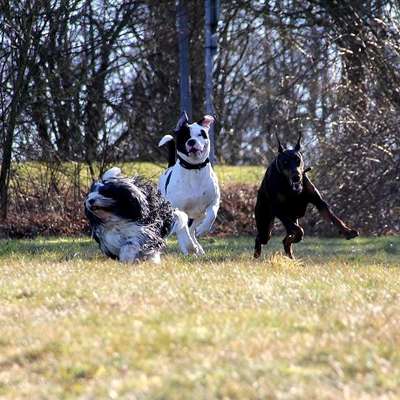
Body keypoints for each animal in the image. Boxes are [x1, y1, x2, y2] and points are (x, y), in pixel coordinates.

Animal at [158, 111, 220, 255]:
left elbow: (212, 214)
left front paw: (203, 230)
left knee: (191, 229)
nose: (191, 141)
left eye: (200, 134)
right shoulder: (178, 210)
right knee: (182, 229)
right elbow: (183, 231)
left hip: (198, 215)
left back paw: (198, 247)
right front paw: (190, 246)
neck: (194, 168)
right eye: (184, 135)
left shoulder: (213, 201)